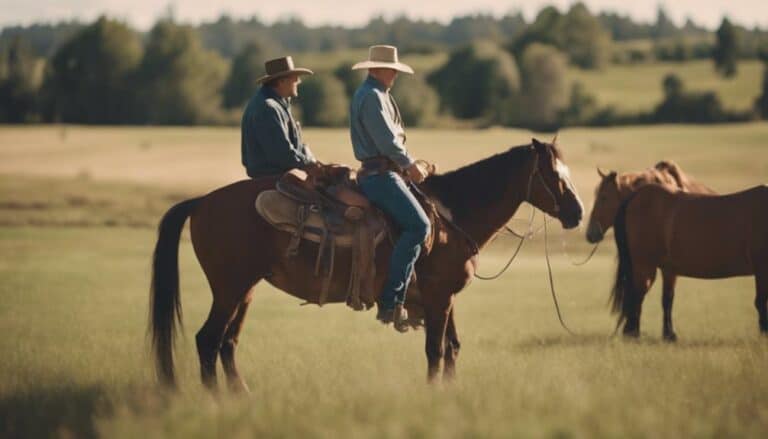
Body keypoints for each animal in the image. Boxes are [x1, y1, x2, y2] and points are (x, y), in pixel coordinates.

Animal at [148, 138, 584, 392]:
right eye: (552, 174)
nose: (578, 212)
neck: (451, 217)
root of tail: (202, 201)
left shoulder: (446, 298)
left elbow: (452, 348)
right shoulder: (439, 297)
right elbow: (436, 349)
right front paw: (434, 396)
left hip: (245, 289)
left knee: (227, 342)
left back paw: (241, 396)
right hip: (229, 288)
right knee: (207, 340)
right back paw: (216, 401)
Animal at [600, 183, 768, 340]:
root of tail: (637, 195)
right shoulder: (761, 269)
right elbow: (760, 301)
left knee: (660, 299)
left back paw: (664, 335)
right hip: (645, 267)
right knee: (636, 296)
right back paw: (633, 334)